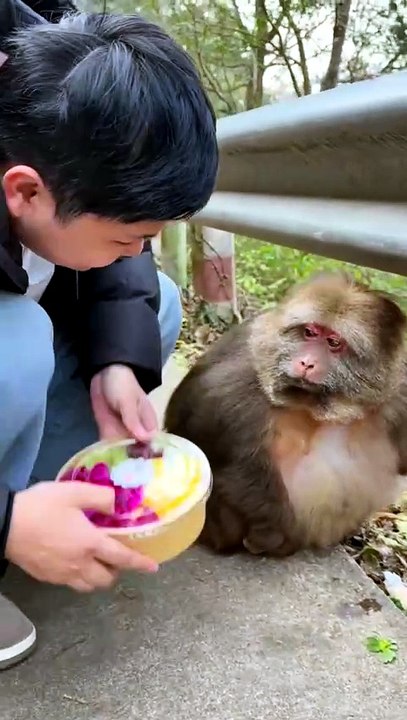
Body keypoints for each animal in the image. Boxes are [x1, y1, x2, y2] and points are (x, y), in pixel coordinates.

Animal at [164, 271, 407, 558]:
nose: (306, 363)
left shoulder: (399, 391)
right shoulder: (246, 367)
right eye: (310, 332)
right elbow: (203, 419)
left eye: (334, 342)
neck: (319, 407)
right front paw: (275, 530)